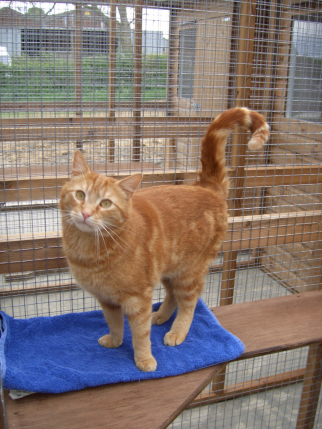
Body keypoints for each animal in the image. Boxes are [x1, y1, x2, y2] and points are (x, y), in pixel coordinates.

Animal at [59, 107, 270, 372]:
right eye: (80, 195)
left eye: (105, 203)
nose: (86, 213)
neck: (89, 249)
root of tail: (205, 186)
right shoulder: (107, 299)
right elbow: (114, 323)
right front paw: (115, 341)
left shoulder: (138, 298)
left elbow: (140, 333)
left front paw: (144, 360)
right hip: (169, 269)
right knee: (172, 295)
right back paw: (161, 315)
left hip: (189, 272)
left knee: (189, 303)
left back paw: (177, 331)